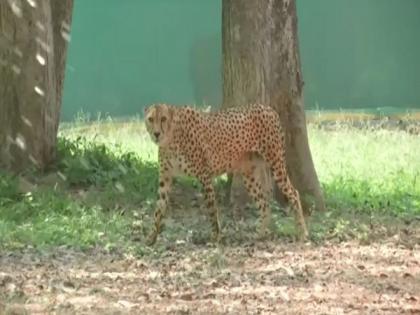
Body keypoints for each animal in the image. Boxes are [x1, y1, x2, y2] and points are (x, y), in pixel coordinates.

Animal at [144, 103, 308, 247]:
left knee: (294, 193)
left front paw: (215, 238)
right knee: (264, 203)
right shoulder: (165, 178)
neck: (170, 137)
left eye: (163, 118)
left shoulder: (204, 176)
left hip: (276, 164)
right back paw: (260, 234)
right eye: (150, 119)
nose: (156, 134)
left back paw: (302, 233)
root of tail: (268, 108)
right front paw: (151, 238)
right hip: (249, 175)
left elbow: (211, 209)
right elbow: (158, 209)